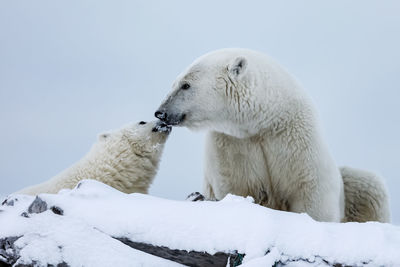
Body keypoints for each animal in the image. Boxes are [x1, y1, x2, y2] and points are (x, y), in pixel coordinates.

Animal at [155, 48, 390, 224]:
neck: (264, 120)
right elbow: (237, 188)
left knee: (368, 184)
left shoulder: (296, 139)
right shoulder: (231, 144)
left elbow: (311, 194)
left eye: (186, 85)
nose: (160, 112)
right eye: (175, 83)